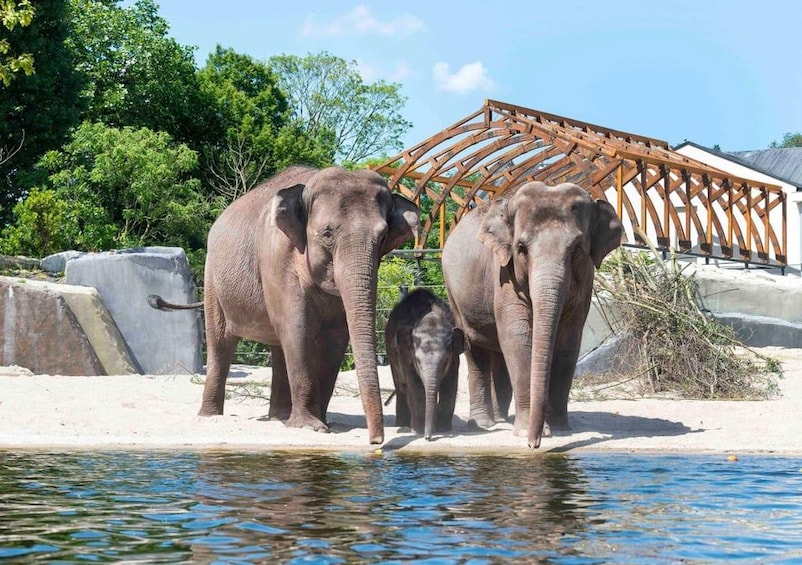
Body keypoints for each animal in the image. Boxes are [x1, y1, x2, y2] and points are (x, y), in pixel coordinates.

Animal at [151, 165, 418, 445]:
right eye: (327, 233)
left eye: (383, 236)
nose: (376, 441)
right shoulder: (277, 257)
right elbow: (296, 328)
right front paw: (311, 427)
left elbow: (335, 337)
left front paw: (322, 423)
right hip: (213, 279)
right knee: (221, 343)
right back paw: (211, 416)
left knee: (278, 348)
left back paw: (278, 418)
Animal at [384, 288, 465, 440]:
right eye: (418, 361)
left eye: (446, 360)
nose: (428, 437)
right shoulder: (406, 356)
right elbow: (415, 387)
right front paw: (419, 432)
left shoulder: (455, 358)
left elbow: (450, 385)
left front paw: (444, 429)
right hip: (391, 354)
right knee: (401, 388)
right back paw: (402, 425)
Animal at [441, 181, 622, 448]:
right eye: (521, 249)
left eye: (577, 249)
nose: (533, 444)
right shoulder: (503, 274)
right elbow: (517, 337)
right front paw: (531, 430)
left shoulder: (586, 282)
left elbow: (569, 342)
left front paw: (560, 428)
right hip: (454, 293)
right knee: (476, 348)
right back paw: (484, 423)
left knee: (499, 354)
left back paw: (502, 418)